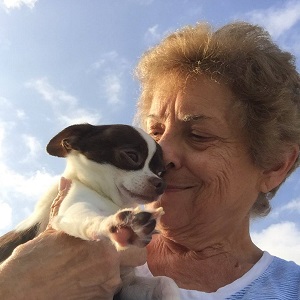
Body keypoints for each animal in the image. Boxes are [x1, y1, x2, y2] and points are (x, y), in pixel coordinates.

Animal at [0, 123, 180, 298]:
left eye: (161, 172)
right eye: (132, 156)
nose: (161, 183)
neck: (112, 201)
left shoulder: (127, 286)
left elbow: (166, 281)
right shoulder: (71, 208)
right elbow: (89, 217)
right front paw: (118, 225)